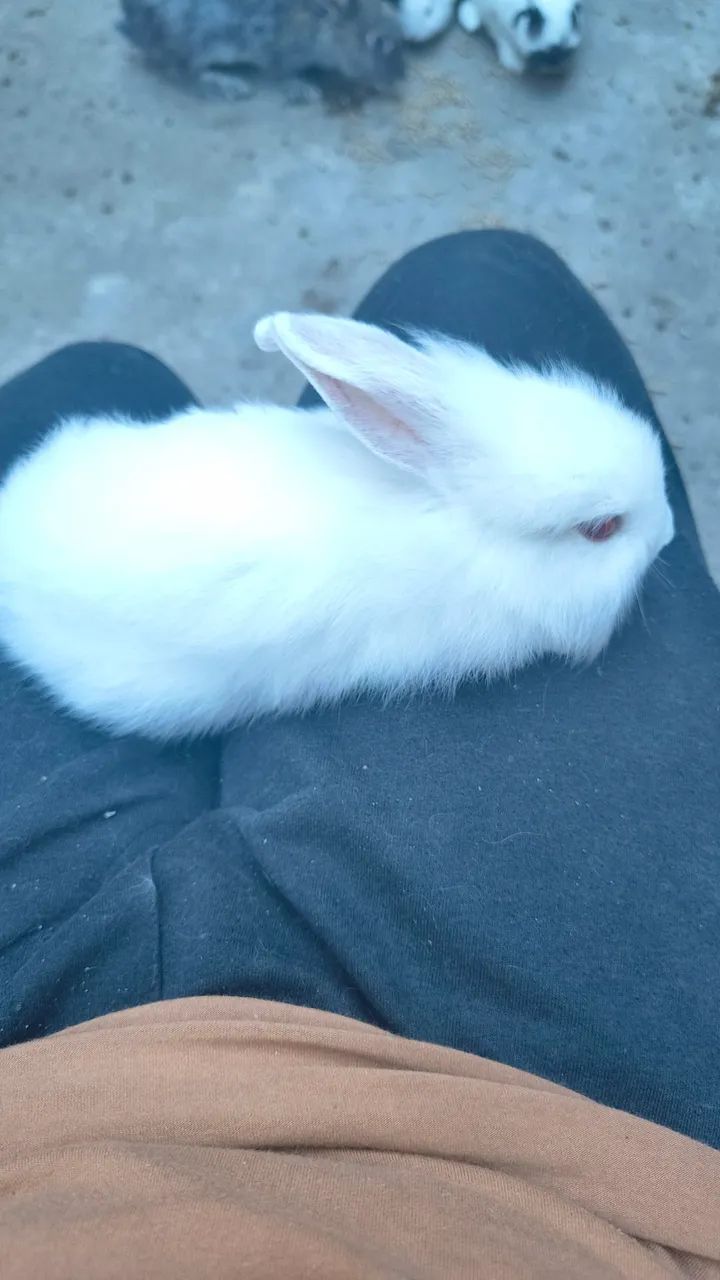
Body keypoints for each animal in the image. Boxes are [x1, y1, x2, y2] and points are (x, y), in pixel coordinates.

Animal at [118, 0, 405, 102]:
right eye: (378, 41)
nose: (400, 77)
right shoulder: (277, 49)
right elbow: (279, 74)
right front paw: (303, 90)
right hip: (193, 37)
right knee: (184, 71)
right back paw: (230, 85)